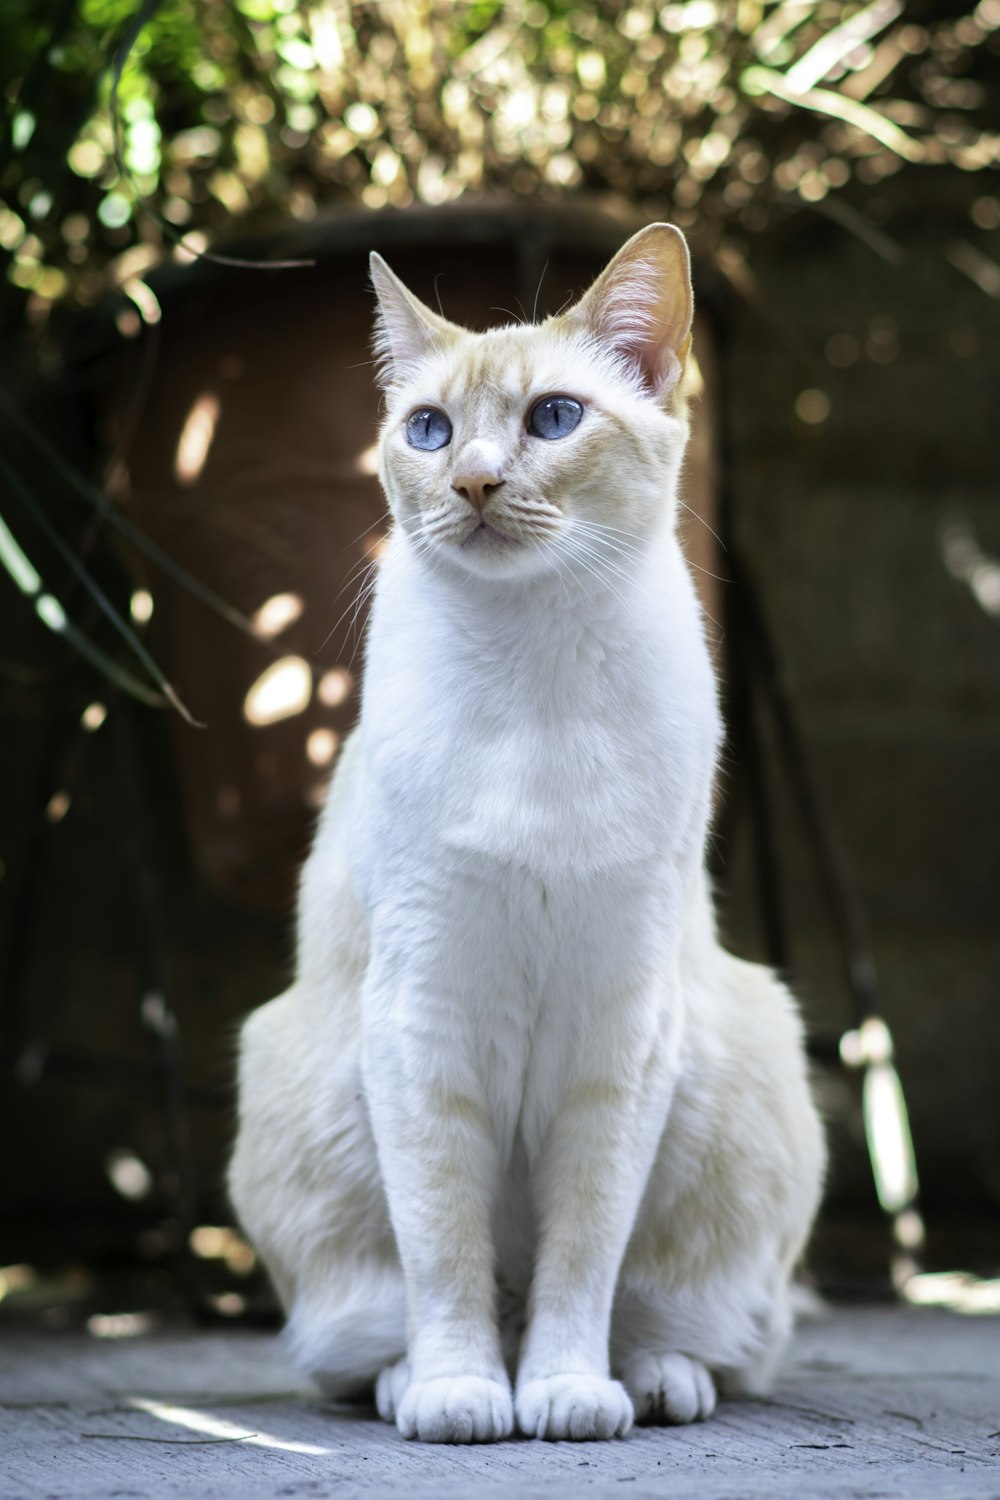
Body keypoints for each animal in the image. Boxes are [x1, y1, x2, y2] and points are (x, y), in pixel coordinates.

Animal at [230, 222, 827, 1440]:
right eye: (428, 430)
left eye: (553, 418)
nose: (472, 480)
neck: (533, 666)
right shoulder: (424, 1023)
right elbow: (447, 1254)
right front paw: (465, 1396)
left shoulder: (621, 1037)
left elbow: (580, 1256)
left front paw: (561, 1394)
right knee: (370, 1336)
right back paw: (422, 1383)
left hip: (737, 1078)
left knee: (684, 1325)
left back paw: (650, 1384)